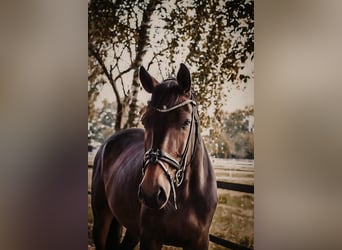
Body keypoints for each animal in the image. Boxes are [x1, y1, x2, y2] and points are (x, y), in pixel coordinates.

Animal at [91, 63, 218, 249]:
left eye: (186, 122)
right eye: (145, 121)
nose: (151, 192)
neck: (185, 197)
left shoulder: (199, 241)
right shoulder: (151, 238)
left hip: (133, 230)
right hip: (102, 218)